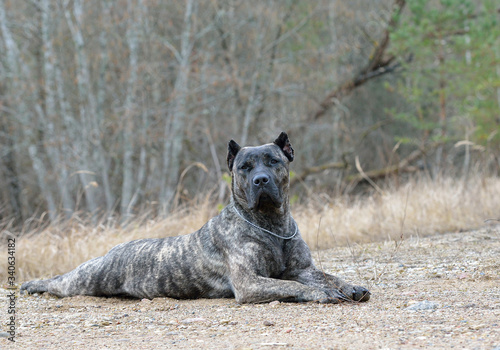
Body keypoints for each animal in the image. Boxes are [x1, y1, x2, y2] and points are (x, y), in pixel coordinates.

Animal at [21, 133, 370, 302]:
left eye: (273, 161)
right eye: (244, 167)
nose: (260, 180)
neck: (271, 225)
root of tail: (114, 249)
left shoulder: (301, 269)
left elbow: (328, 275)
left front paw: (350, 286)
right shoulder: (250, 282)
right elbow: (293, 286)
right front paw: (322, 293)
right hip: (86, 279)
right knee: (59, 281)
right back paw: (32, 285)